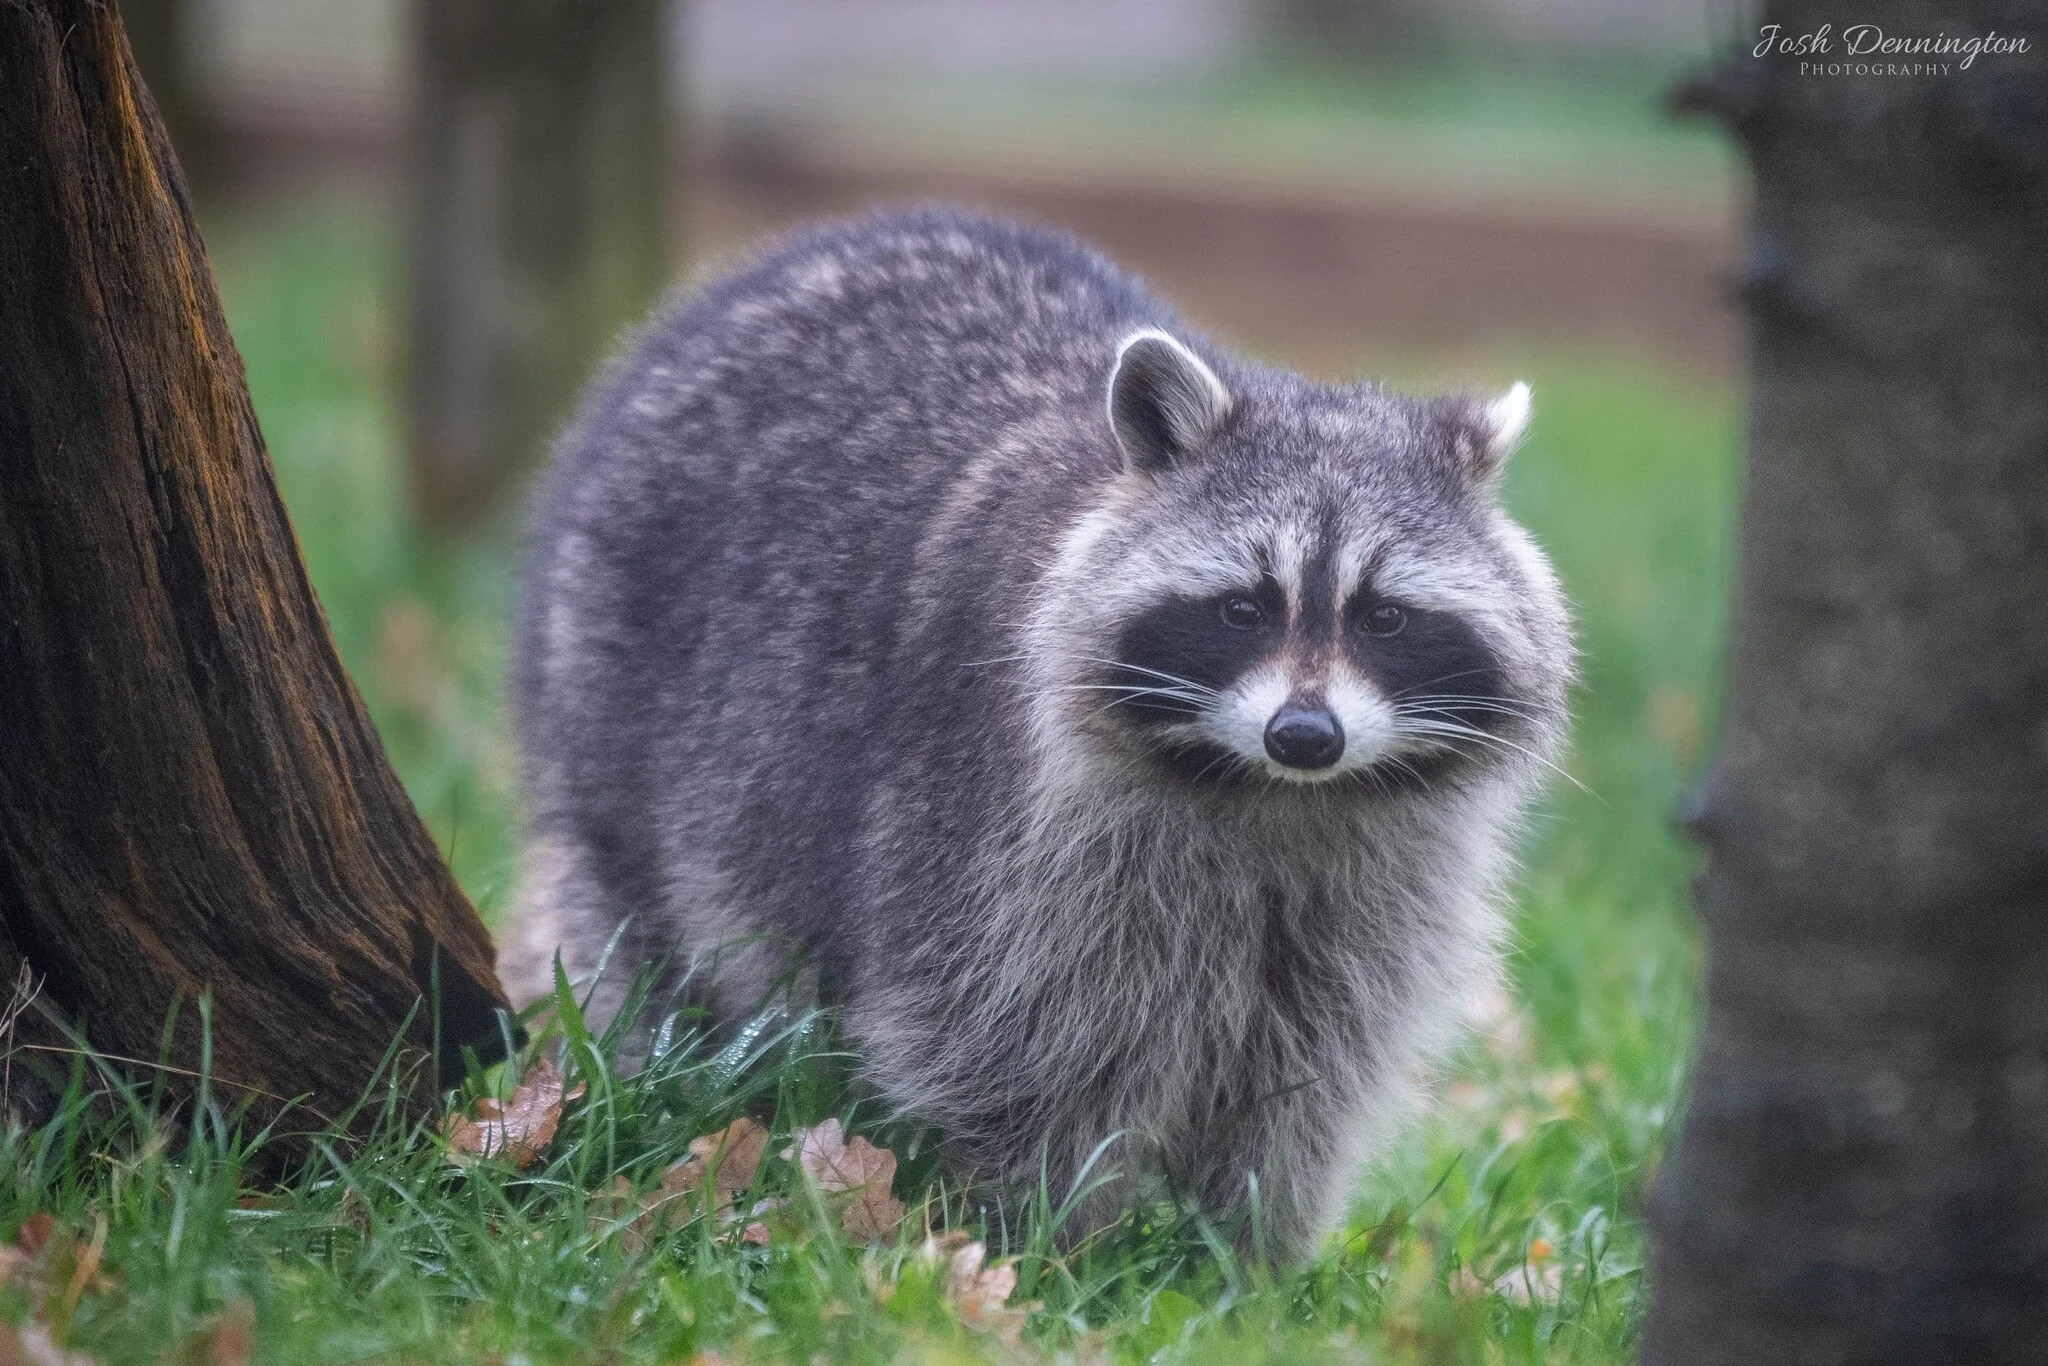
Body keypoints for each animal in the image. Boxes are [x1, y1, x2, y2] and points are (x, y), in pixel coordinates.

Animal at [504, 207, 1572, 1256]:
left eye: (1385, 617)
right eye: (1244, 609)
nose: (1304, 734)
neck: (1269, 797)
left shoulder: (1378, 872)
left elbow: (1312, 1063)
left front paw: (1252, 1254)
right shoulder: (997, 825)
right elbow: (1022, 1038)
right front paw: (1052, 1238)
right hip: (608, 690)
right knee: (635, 928)